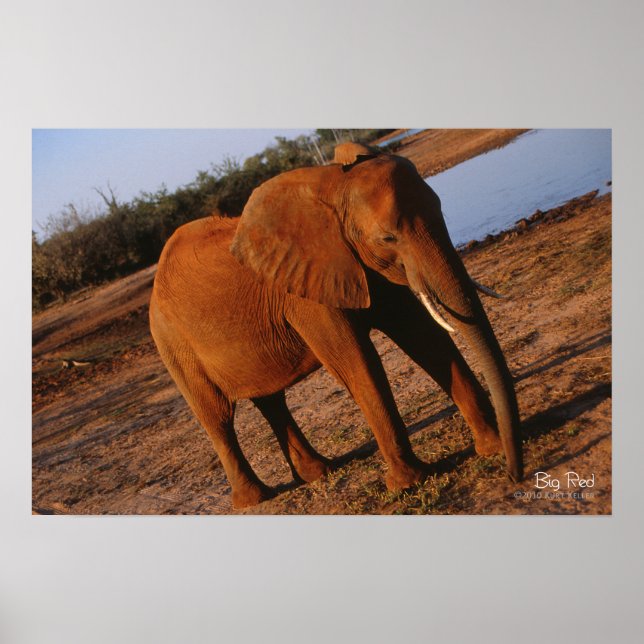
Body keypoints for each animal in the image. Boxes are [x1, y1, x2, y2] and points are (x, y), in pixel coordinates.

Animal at [150, 142, 523, 509]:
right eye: (388, 238)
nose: (514, 476)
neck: (333, 187)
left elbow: (422, 336)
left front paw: (490, 447)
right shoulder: (305, 290)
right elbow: (355, 362)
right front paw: (406, 483)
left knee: (272, 401)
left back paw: (319, 472)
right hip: (173, 346)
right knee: (218, 417)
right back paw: (254, 500)